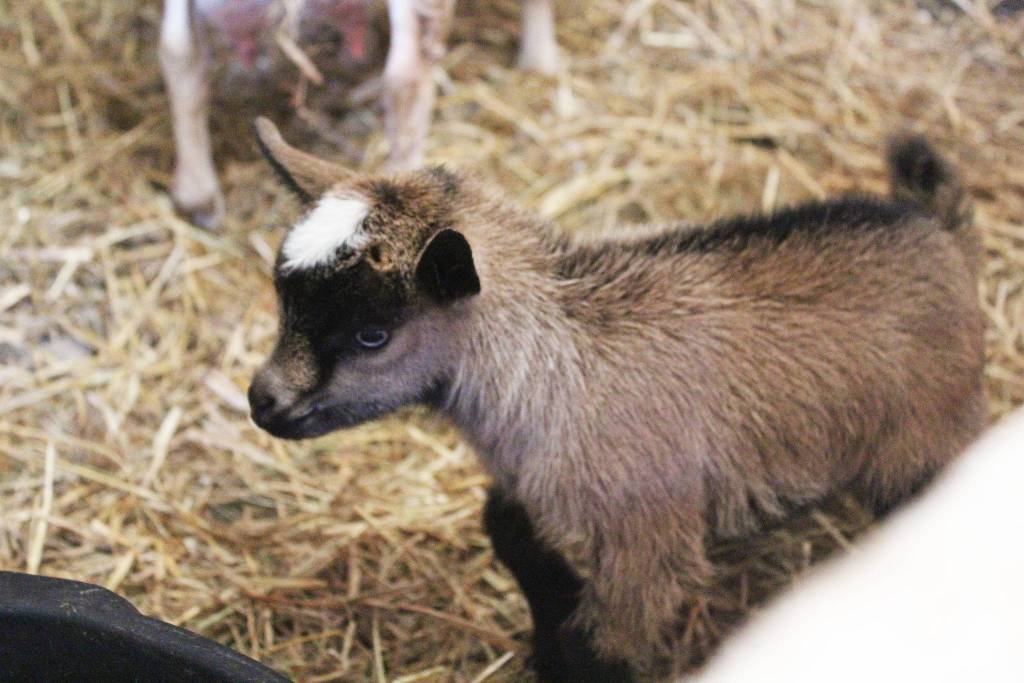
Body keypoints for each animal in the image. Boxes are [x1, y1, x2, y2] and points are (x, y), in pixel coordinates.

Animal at [246, 118, 985, 680]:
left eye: (372, 334)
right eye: (284, 300)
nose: (263, 401)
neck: (556, 363)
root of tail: (939, 232)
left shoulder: (646, 539)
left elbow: (602, 647)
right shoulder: (528, 481)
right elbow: (505, 526)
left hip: (923, 436)